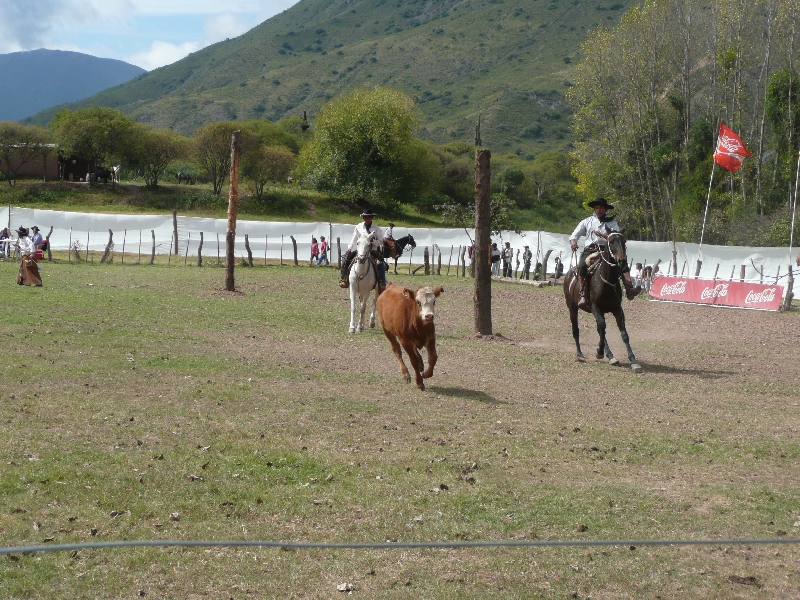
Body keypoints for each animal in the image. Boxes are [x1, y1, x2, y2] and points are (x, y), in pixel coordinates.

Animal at [564, 232, 644, 372]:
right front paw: (599, 352)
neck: (606, 281)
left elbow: (623, 334)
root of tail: (569, 273)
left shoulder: (617, 309)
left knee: (600, 330)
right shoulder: (595, 307)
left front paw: (633, 361)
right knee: (576, 330)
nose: (622, 261)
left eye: (624, 241)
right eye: (611, 241)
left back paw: (611, 356)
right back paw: (580, 355)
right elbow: (602, 327)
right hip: (572, 307)